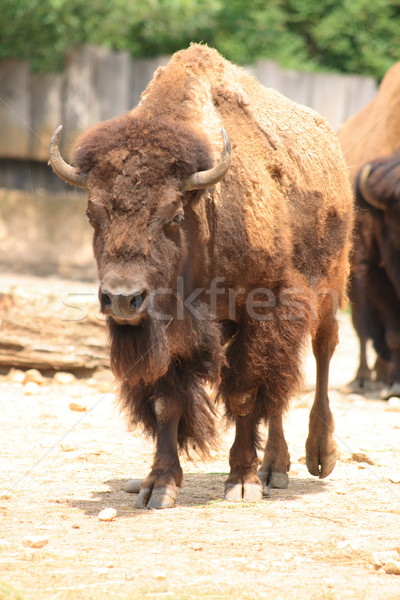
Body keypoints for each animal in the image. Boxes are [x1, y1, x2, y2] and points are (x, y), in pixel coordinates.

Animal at [49, 44, 354, 508]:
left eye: (173, 215)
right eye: (92, 215)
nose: (122, 298)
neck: (204, 209)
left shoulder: (265, 307)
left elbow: (244, 393)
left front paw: (242, 481)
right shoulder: (171, 328)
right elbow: (167, 402)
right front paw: (158, 485)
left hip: (329, 286)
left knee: (320, 353)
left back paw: (317, 456)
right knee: (280, 388)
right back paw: (275, 467)